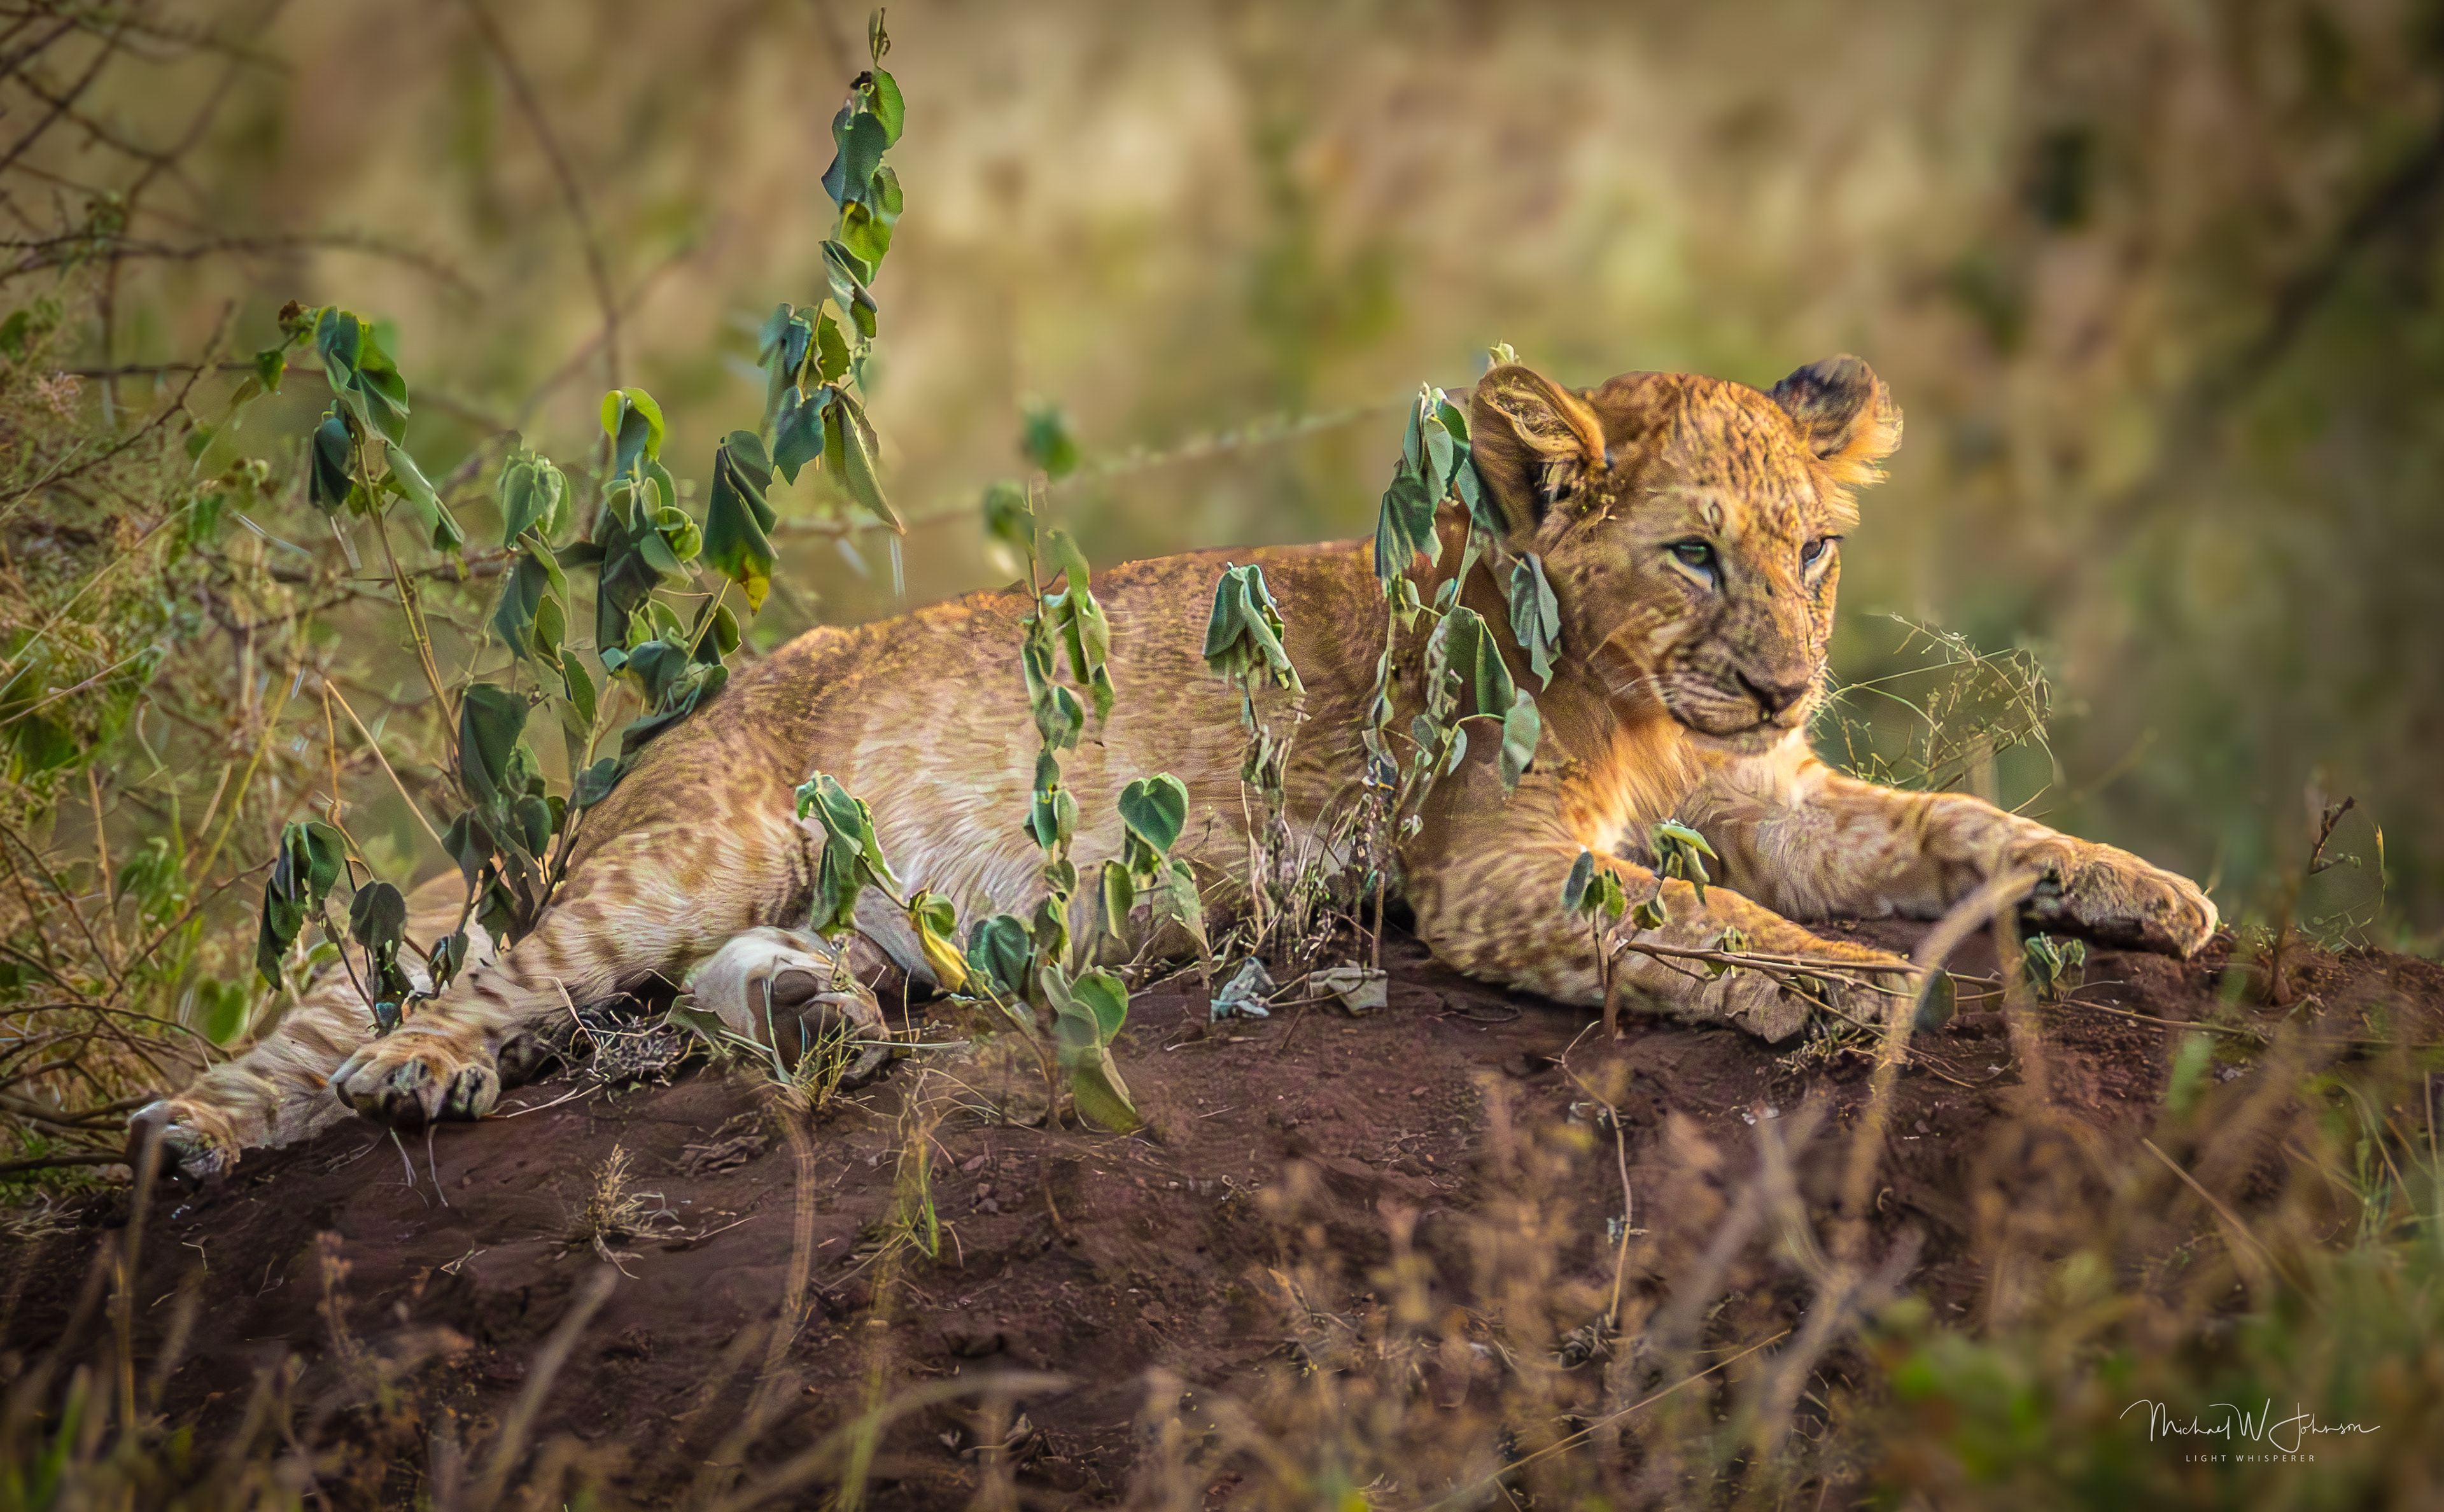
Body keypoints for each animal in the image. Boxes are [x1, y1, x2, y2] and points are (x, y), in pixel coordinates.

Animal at [132, 355, 2216, 1176]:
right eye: (1694, 553)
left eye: (1814, 551)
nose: (1785, 678)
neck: (1644, 701)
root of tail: (665, 741)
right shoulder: (1482, 873)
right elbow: (1716, 929)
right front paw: (1865, 996)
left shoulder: (1767, 800)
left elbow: (1958, 824)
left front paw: (2150, 889)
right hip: (689, 847)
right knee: (490, 979)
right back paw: (390, 1078)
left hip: (824, 905)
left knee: (719, 985)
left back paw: (820, 1025)